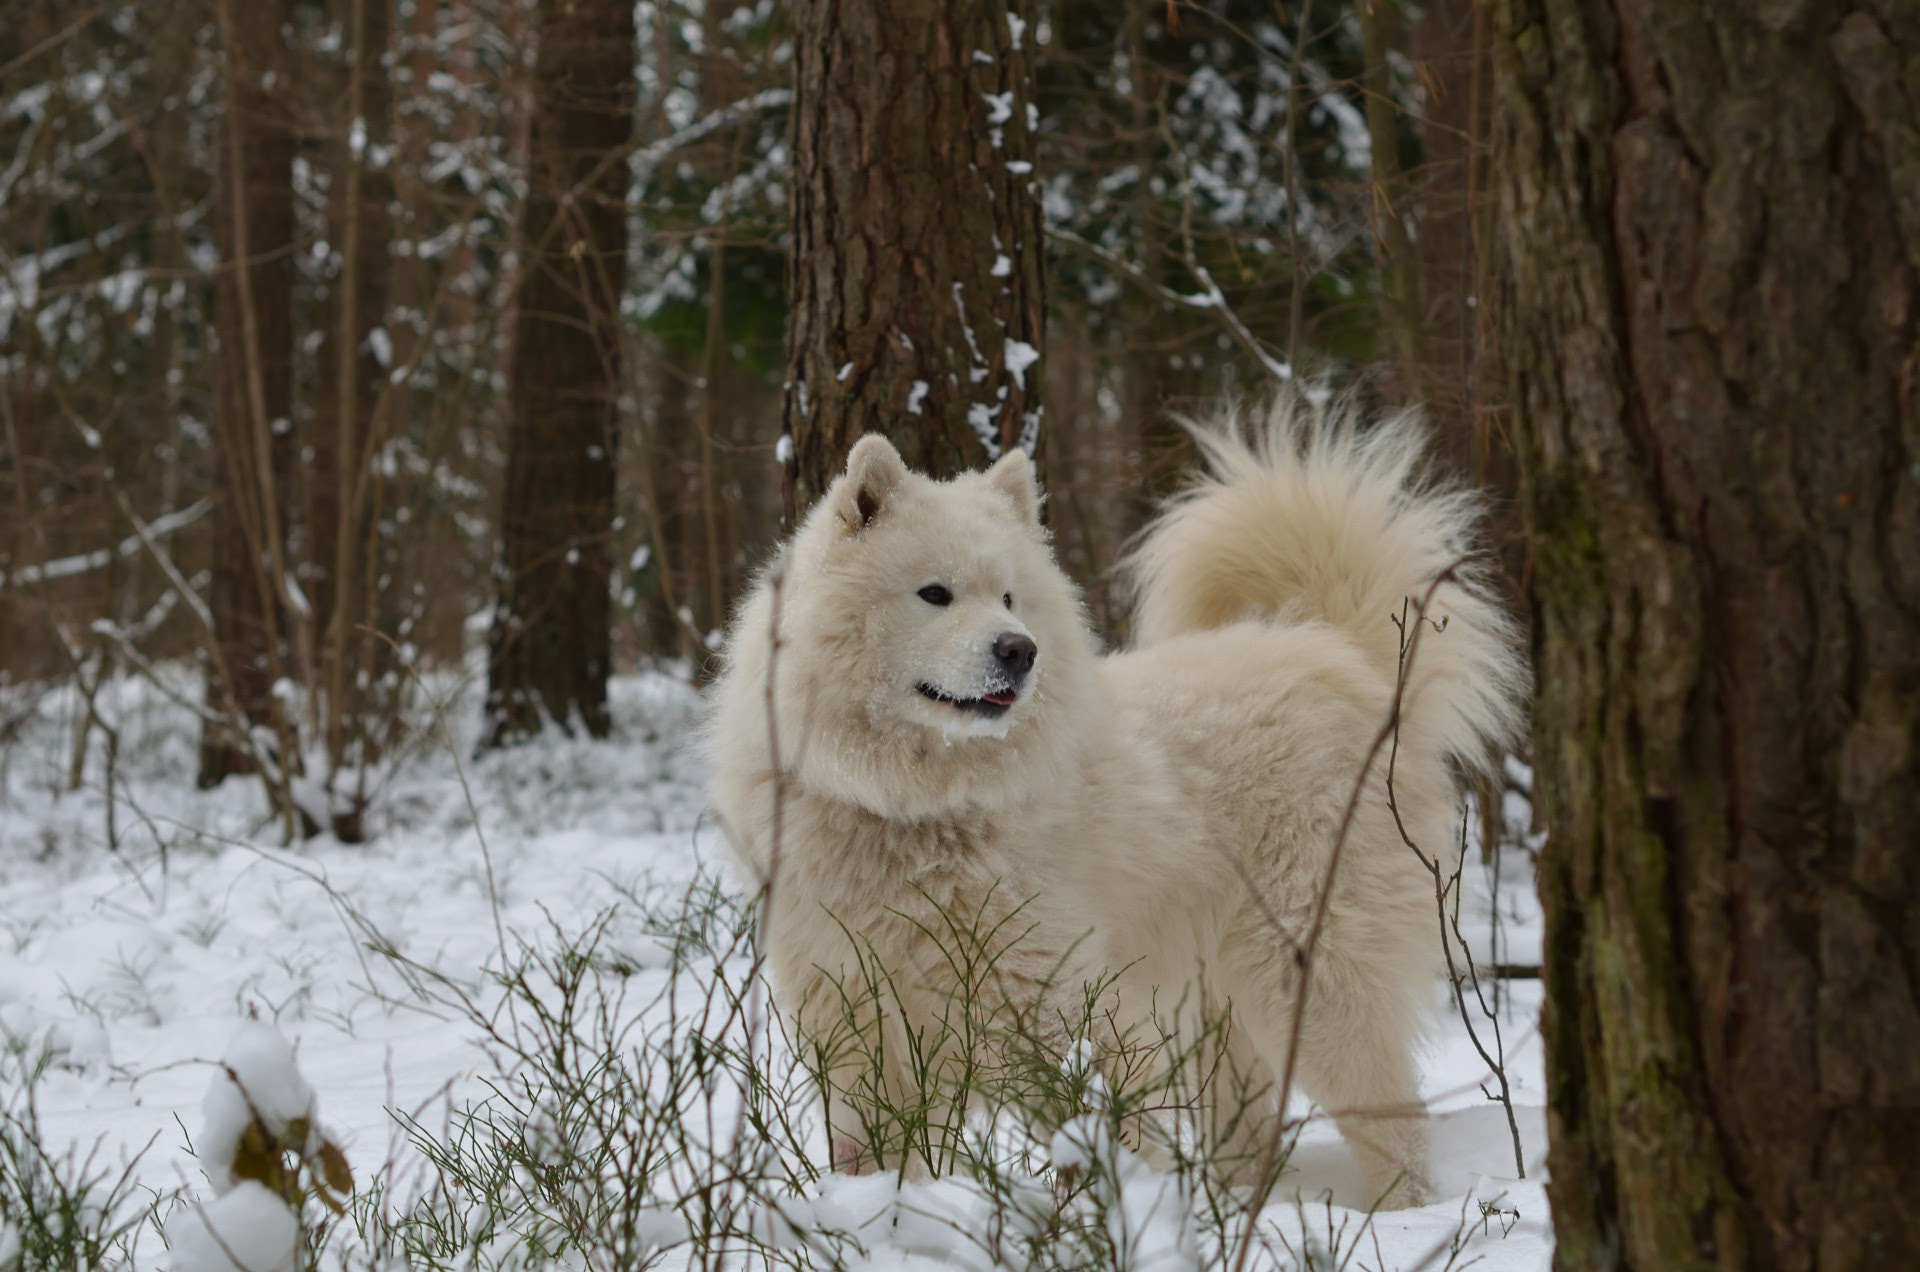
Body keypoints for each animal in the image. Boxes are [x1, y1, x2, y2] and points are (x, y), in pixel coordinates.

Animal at [710, 395, 1528, 1206]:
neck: (915, 808)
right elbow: (884, 1156)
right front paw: (889, 1214)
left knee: (1393, 1123)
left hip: (1312, 981)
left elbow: (1094, 1129)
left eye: (1008, 597)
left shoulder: (1053, 999)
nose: (1019, 650)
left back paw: (1398, 1214)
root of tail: (1346, 661)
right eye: (935, 593)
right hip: (1222, 1012)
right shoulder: (858, 1018)